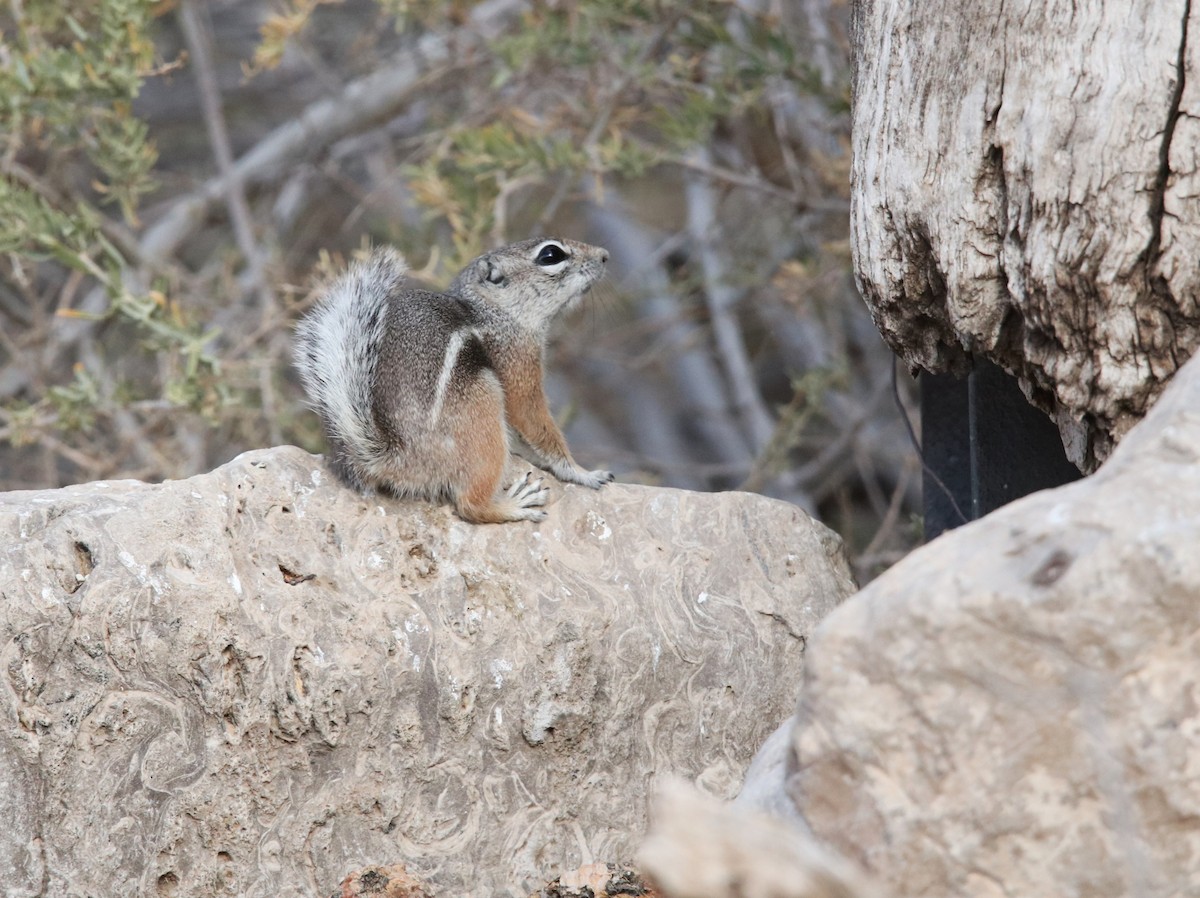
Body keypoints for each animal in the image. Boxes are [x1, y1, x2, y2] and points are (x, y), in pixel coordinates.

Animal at [293, 238, 614, 524]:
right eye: (550, 255)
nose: (605, 256)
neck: (494, 311)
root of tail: (396, 459)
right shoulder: (518, 363)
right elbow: (533, 419)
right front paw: (583, 473)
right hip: (483, 403)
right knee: (470, 506)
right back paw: (514, 504)